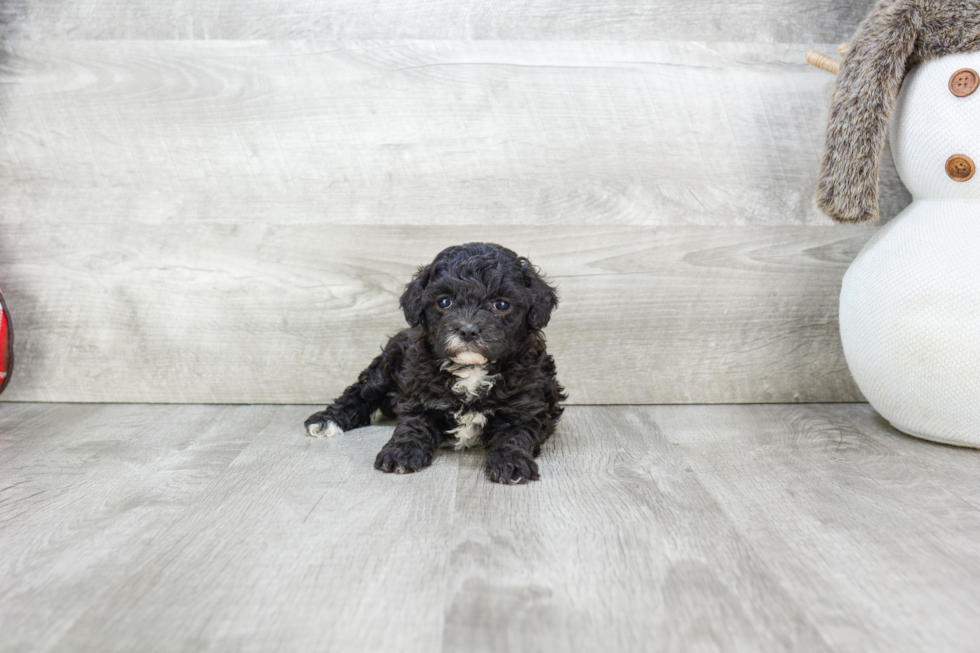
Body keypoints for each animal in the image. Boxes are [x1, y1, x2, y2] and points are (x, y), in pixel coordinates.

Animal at [306, 242, 568, 482]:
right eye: (444, 302)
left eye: (502, 304)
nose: (468, 330)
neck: (471, 369)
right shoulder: (419, 395)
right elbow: (414, 425)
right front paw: (400, 453)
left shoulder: (525, 406)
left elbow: (514, 434)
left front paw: (511, 462)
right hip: (385, 368)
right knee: (359, 393)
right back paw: (325, 420)